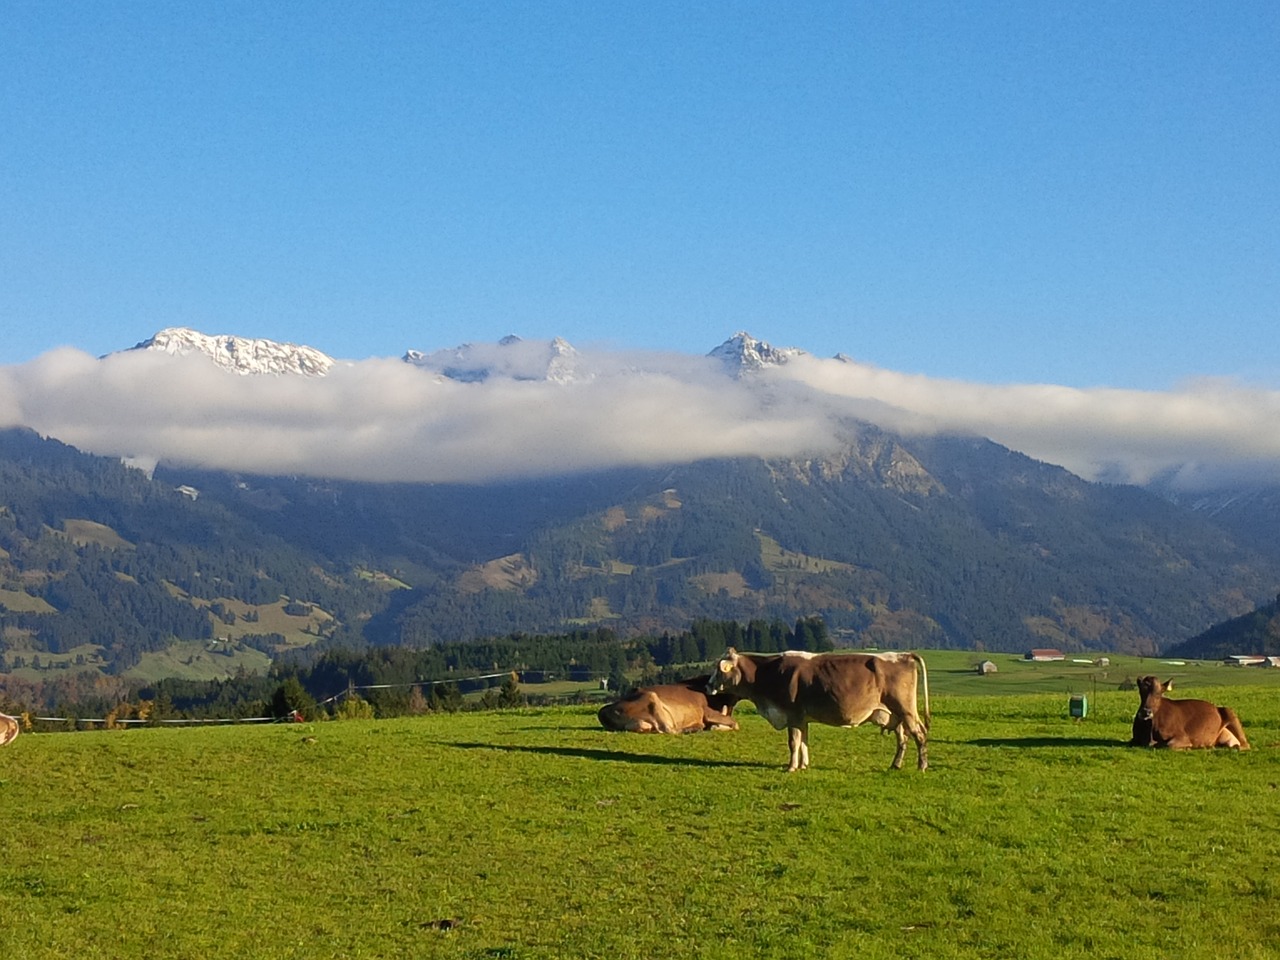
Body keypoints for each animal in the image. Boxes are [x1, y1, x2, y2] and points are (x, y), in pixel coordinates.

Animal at [591, 675, 737, 737]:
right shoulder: (708, 712)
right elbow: (735, 724)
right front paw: (714, 727)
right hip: (651, 696)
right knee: (669, 729)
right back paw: (694, 728)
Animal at [706, 647, 926, 773]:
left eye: (718, 669)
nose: (708, 685)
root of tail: (903, 655)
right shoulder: (802, 719)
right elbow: (804, 742)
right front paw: (803, 765)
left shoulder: (793, 715)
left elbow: (794, 743)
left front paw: (791, 767)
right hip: (896, 715)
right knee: (903, 738)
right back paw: (895, 765)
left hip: (906, 709)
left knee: (919, 734)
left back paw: (922, 766)